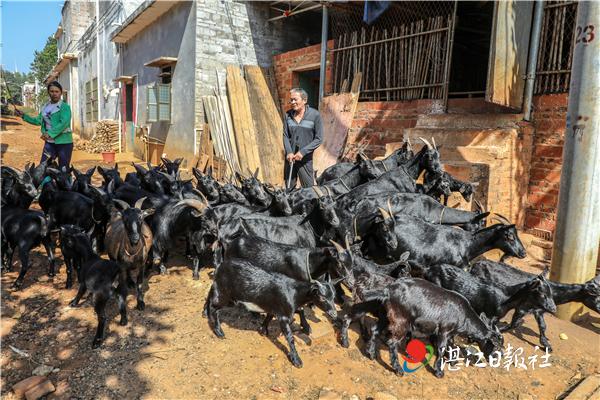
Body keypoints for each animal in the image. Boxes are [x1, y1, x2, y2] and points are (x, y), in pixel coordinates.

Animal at [205, 258, 338, 368]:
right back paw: (218, 331)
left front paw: (263, 329)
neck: (293, 292)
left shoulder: (277, 307)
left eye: (333, 297)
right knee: (214, 306)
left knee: (211, 294)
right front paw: (296, 360)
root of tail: (220, 266)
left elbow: (279, 313)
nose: (334, 314)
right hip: (227, 295)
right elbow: (290, 337)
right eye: (322, 298)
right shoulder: (283, 316)